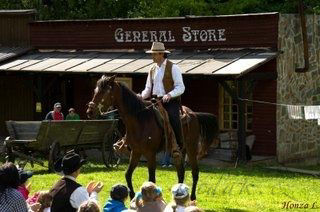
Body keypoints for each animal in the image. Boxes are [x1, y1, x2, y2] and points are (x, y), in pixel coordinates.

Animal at [86, 75, 219, 200]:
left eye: (105, 91)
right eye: (95, 90)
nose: (90, 111)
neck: (141, 119)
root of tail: (194, 114)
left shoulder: (150, 154)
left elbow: (151, 180)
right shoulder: (136, 152)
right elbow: (128, 174)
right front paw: (132, 197)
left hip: (191, 148)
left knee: (195, 172)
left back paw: (192, 198)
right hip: (180, 151)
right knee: (181, 172)